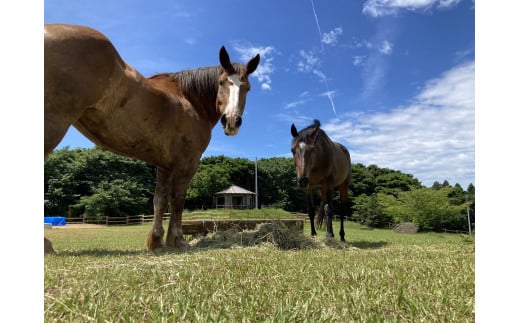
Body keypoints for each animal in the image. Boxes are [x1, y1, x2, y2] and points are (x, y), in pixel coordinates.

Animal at [44, 24, 260, 253]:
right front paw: (177, 240)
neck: (190, 99)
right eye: (221, 83)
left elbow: (160, 201)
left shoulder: (164, 166)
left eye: (247, 88)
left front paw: (156, 241)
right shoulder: (187, 164)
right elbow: (177, 200)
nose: (232, 121)